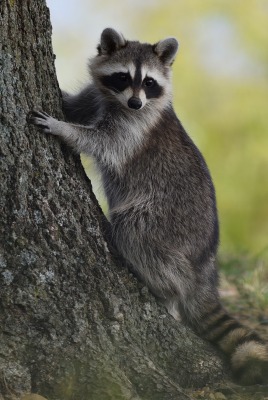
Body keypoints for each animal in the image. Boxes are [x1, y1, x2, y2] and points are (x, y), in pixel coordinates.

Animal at [28, 27, 266, 384]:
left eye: (150, 82)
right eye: (123, 77)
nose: (136, 102)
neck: (118, 101)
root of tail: (205, 262)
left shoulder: (134, 128)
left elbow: (102, 142)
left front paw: (63, 128)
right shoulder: (98, 96)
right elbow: (75, 105)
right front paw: (63, 103)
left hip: (166, 222)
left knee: (135, 232)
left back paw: (166, 290)